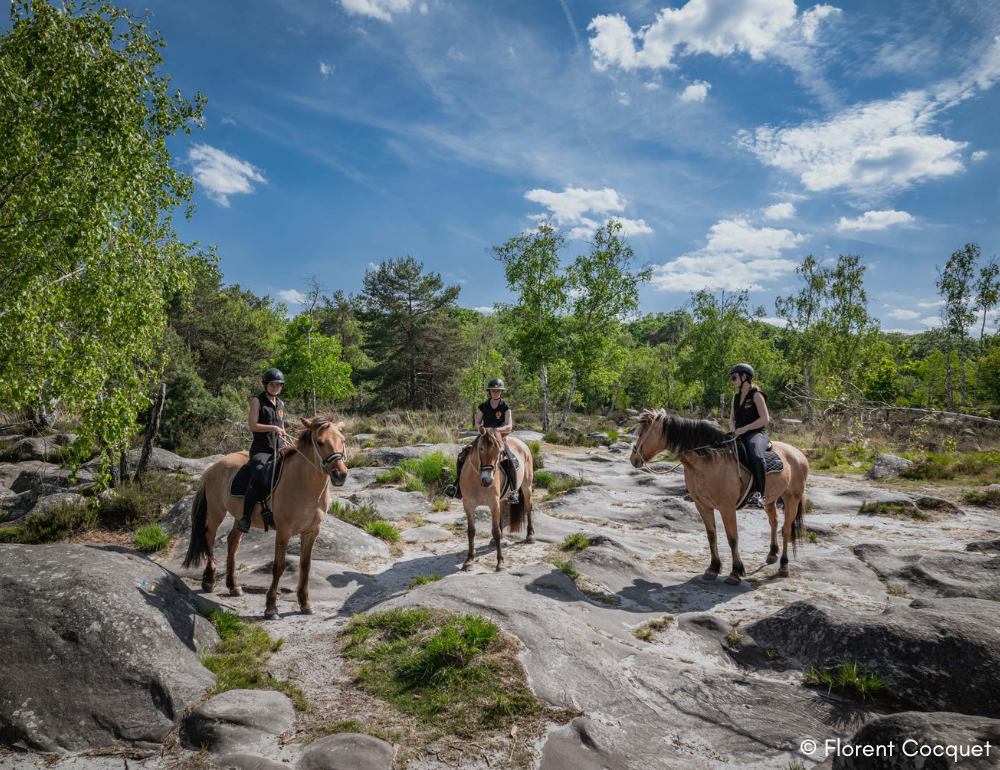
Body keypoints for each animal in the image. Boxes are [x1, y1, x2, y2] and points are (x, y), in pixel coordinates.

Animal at [182, 414, 350, 616]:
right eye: (320, 442)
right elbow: (278, 567)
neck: (303, 484)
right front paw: (271, 606)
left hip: (240, 517)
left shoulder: (312, 531)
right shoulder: (284, 531)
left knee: (232, 542)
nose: (340, 474)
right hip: (216, 512)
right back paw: (209, 580)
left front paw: (305, 603)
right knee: (209, 537)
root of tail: (215, 465)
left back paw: (234, 585)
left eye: (342, 440)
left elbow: (305, 566)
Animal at [460, 426, 536, 568]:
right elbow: (471, 531)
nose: (487, 480)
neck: (477, 480)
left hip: (527, 486)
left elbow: (496, 531)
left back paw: (530, 535)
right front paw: (469, 560)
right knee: (503, 510)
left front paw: (500, 562)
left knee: (528, 507)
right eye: (481, 448)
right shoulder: (468, 504)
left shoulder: (493, 503)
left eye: (499, 452)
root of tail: (521, 443)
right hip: (502, 498)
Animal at [632, 412, 812, 584]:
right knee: (773, 521)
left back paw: (784, 566)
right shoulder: (702, 505)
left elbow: (732, 538)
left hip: (792, 498)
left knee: (786, 529)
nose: (633, 459)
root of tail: (798, 454)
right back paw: (772, 554)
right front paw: (713, 568)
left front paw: (735, 572)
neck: (709, 461)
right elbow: (711, 535)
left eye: (641, 433)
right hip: (770, 499)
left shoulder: (727, 508)